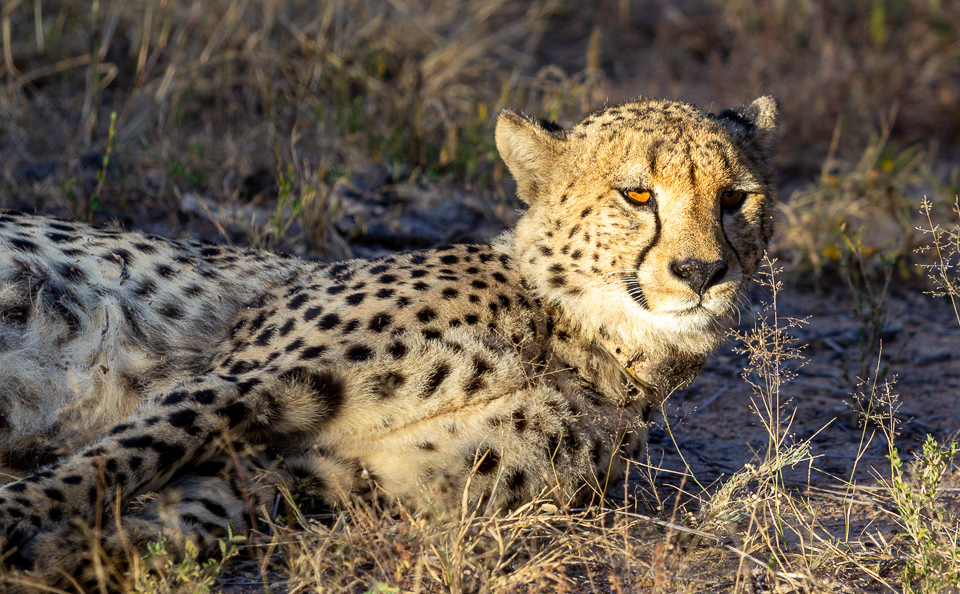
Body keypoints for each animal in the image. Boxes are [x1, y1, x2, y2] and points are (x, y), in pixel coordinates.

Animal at [0, 96, 778, 589]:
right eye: (638, 195)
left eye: (735, 199)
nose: (703, 272)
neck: (578, 336)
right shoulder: (241, 382)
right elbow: (108, 461)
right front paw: (19, 521)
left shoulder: (331, 472)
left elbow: (183, 511)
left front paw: (62, 554)